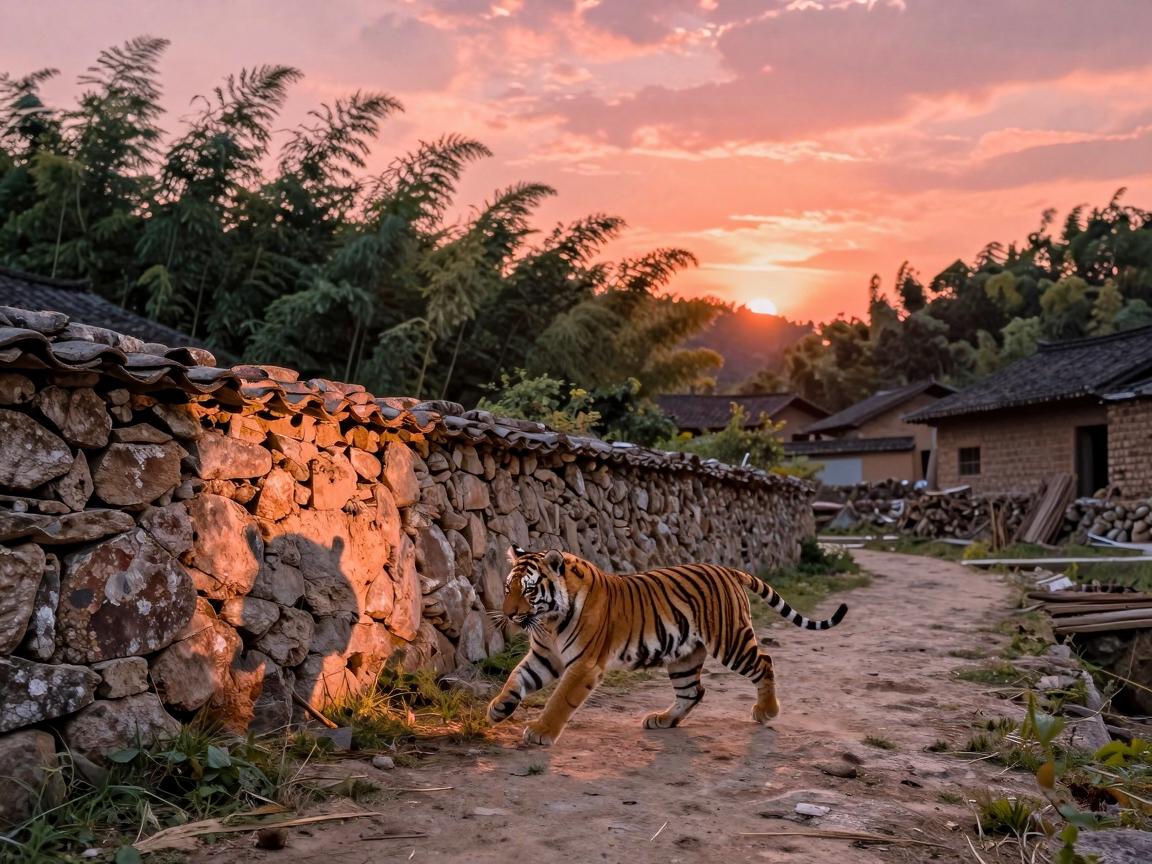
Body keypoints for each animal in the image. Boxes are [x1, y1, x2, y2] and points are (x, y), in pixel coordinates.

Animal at [487, 546, 849, 746]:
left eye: (529, 589)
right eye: (507, 588)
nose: (509, 614)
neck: (548, 621)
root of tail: (728, 569)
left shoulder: (584, 665)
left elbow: (560, 700)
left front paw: (541, 731)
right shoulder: (545, 656)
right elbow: (516, 678)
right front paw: (498, 708)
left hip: (730, 641)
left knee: (765, 661)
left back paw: (767, 711)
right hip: (683, 656)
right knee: (693, 691)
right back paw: (663, 719)